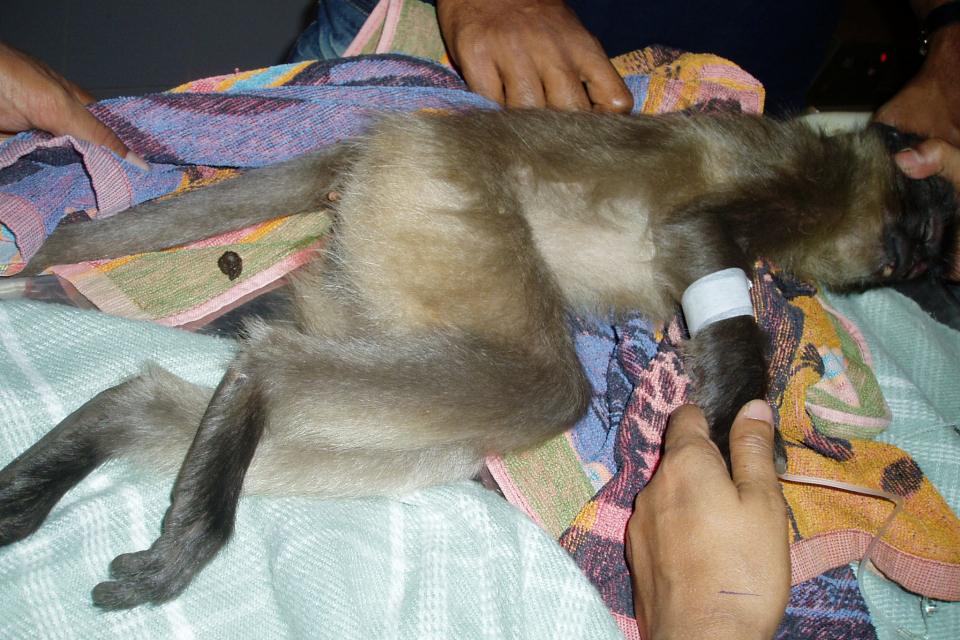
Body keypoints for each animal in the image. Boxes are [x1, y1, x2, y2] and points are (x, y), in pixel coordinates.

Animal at [0, 109, 956, 610]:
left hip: (385, 259)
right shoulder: (790, 181)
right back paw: (230, 442)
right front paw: (735, 438)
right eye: (915, 236)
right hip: (445, 196)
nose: (916, 256)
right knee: (540, 387)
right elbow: (698, 239)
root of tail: (404, 130)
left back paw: (102, 437)